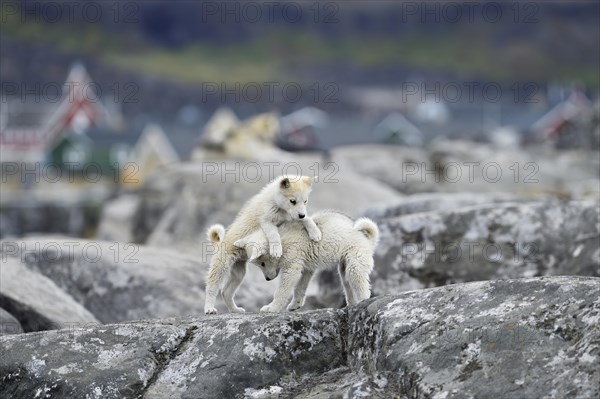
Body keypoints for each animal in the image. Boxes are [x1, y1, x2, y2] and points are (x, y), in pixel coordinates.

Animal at [236, 211, 380, 314]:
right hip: (344, 265)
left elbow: (282, 289)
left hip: (355, 260)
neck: (281, 241)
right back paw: (351, 305)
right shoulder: (305, 267)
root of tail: (368, 240)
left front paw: (271, 308)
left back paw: (362, 302)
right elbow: (300, 287)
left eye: (262, 263)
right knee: (347, 283)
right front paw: (294, 306)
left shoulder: (292, 265)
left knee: (359, 282)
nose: (267, 279)